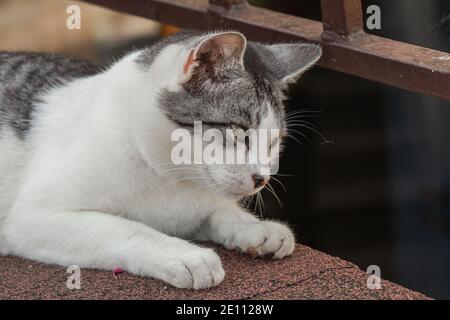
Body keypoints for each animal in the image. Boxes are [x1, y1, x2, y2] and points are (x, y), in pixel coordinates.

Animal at [0, 31, 324, 288]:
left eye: (274, 142)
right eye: (237, 130)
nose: (262, 178)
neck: (172, 178)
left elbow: (218, 211)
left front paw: (256, 227)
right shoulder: (32, 215)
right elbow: (125, 228)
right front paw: (186, 255)